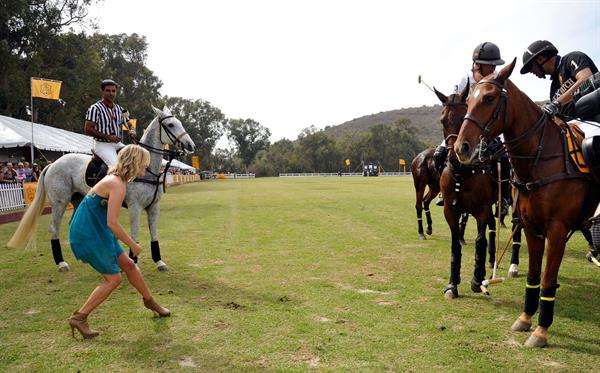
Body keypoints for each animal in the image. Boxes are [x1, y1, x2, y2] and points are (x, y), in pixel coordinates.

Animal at [7, 106, 195, 272]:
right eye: (170, 125)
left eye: (179, 122)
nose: (190, 145)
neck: (147, 169)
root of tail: (51, 164)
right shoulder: (135, 207)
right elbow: (134, 235)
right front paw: (133, 261)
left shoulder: (154, 207)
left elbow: (154, 234)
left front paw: (160, 262)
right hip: (59, 202)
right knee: (54, 228)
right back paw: (61, 263)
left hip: (77, 199)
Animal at [454, 58, 600, 346]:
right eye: (469, 99)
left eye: (489, 98)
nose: (461, 148)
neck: (541, 161)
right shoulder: (533, 227)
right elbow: (534, 275)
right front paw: (525, 319)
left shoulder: (557, 229)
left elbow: (548, 278)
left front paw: (541, 331)